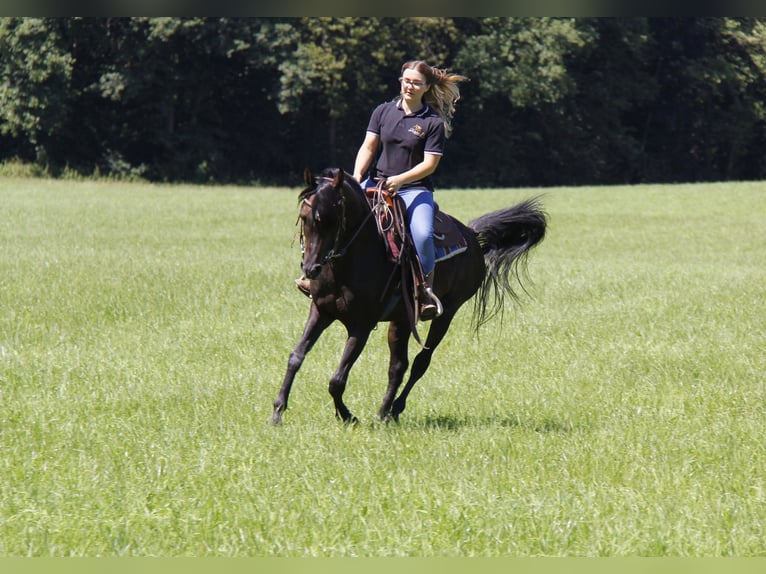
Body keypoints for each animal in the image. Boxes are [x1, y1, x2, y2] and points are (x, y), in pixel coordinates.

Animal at [270, 169, 544, 426]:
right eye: (304, 217)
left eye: (331, 219)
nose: (311, 268)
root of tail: (472, 235)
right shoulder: (320, 311)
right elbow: (295, 357)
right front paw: (277, 411)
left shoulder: (362, 325)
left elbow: (337, 379)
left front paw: (348, 416)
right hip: (401, 320)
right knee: (398, 366)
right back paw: (383, 413)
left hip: (448, 312)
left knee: (420, 362)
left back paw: (392, 410)